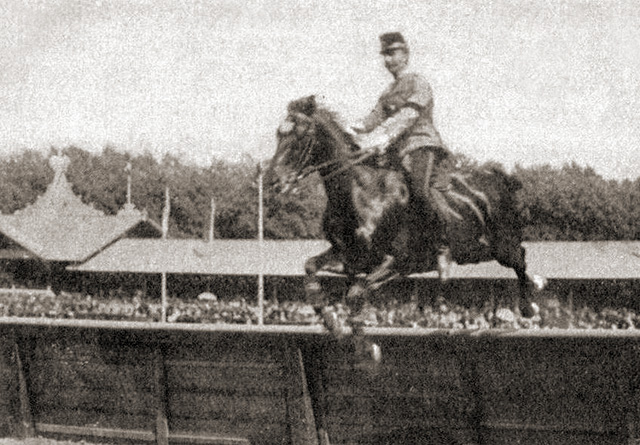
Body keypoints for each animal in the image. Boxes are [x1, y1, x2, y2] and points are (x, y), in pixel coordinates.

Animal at [266, 94, 544, 336]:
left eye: (301, 136)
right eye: (279, 134)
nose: (274, 181)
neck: (360, 193)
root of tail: (499, 179)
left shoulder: (397, 261)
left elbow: (356, 291)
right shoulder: (351, 257)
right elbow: (312, 267)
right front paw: (330, 319)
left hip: (500, 245)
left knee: (520, 256)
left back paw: (531, 303)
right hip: (474, 250)